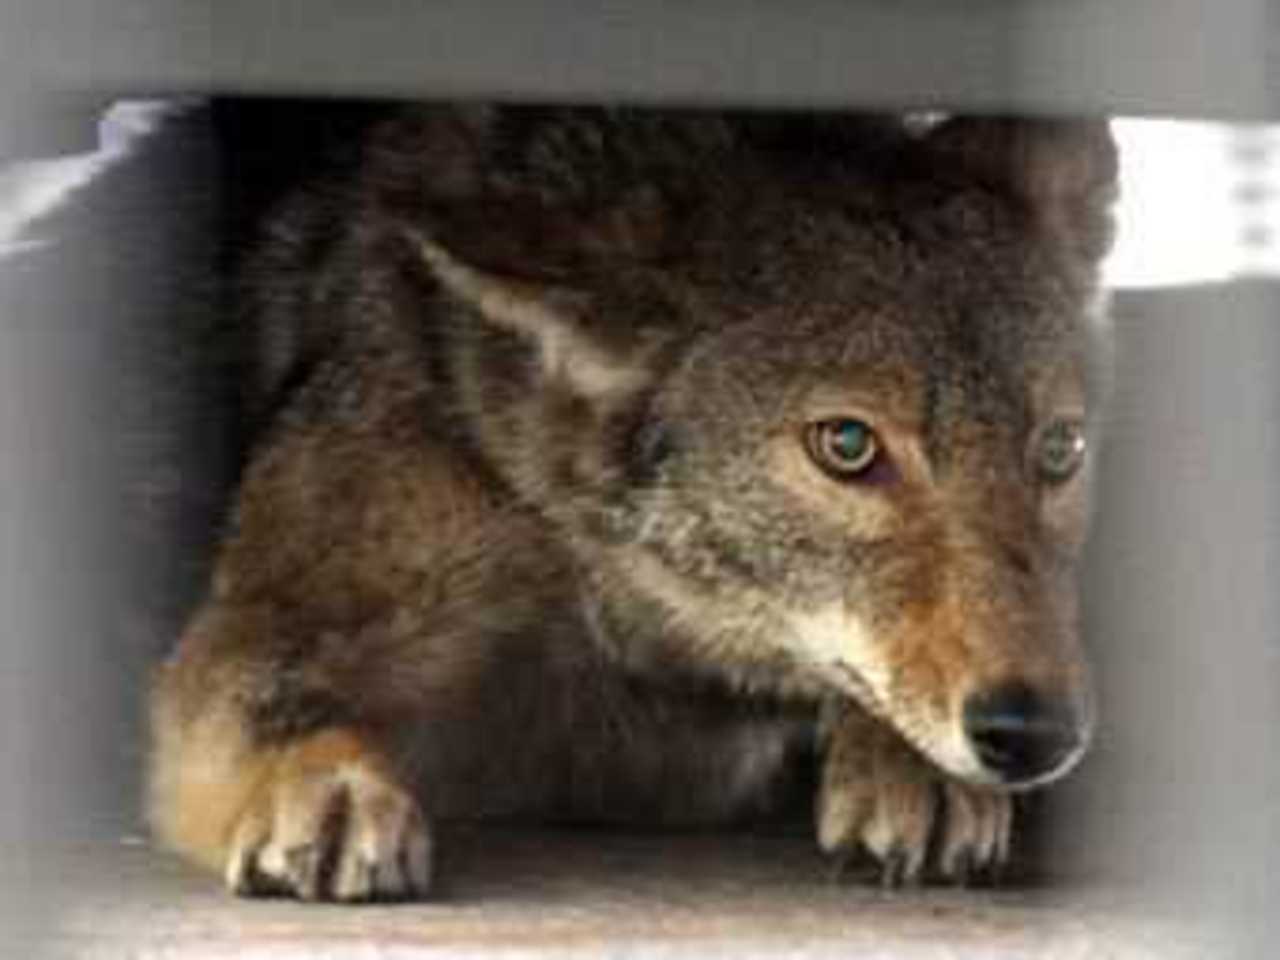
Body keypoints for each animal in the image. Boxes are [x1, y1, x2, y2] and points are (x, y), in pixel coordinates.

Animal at [148, 104, 1117, 901]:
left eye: (1060, 451)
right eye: (847, 446)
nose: (1036, 734)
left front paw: (917, 772)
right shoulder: (265, 624)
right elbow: (273, 703)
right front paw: (322, 784)